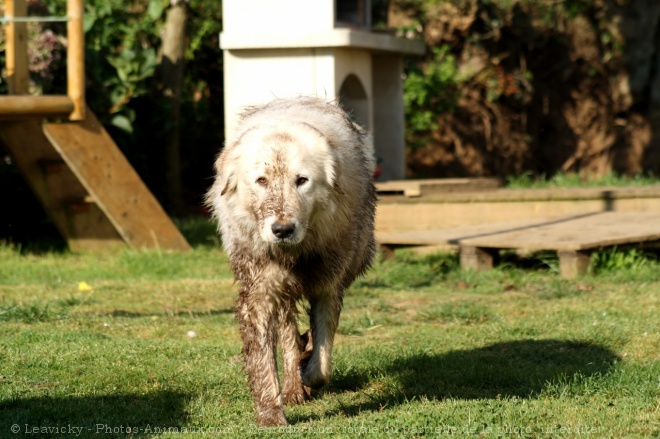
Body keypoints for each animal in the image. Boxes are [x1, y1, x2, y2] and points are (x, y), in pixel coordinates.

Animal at [209, 96, 378, 426]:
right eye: (262, 180)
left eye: (302, 181)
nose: (282, 230)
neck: (295, 254)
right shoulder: (259, 294)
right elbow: (264, 361)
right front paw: (272, 415)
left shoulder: (327, 288)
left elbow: (322, 363)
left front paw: (309, 370)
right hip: (281, 295)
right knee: (288, 334)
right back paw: (292, 386)